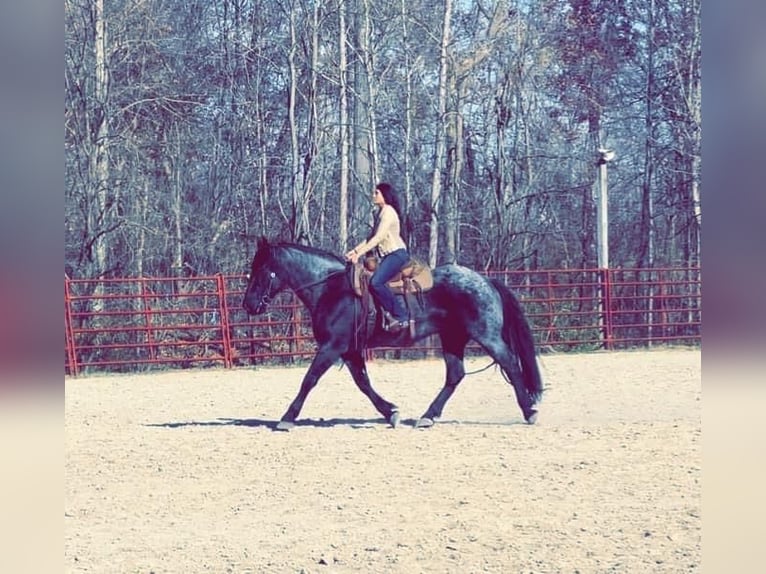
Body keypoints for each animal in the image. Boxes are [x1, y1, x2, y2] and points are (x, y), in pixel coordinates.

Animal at [243, 238, 544, 432]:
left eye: (260, 270)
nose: (248, 305)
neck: (332, 289)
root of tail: (484, 279)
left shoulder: (332, 347)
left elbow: (309, 380)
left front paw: (287, 418)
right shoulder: (350, 350)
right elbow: (363, 384)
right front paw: (391, 413)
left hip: (486, 335)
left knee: (510, 364)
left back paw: (529, 411)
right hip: (453, 339)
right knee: (455, 375)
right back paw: (427, 417)